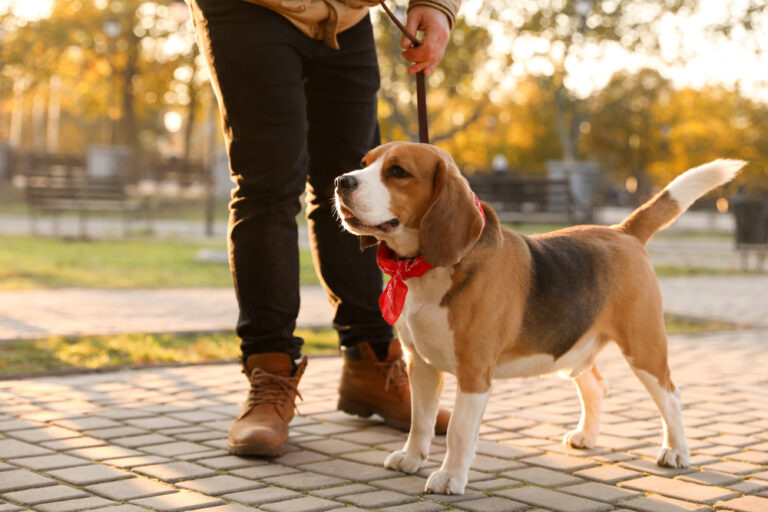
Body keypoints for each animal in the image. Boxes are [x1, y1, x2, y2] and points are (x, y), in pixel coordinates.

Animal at [332, 141, 740, 496]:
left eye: (397, 172)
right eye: (365, 162)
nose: (341, 182)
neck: (425, 269)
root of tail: (623, 232)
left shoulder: (474, 372)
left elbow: (459, 431)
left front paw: (450, 477)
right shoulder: (421, 363)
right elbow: (420, 420)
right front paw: (412, 458)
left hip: (643, 346)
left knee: (670, 395)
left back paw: (676, 451)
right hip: (576, 347)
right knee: (596, 386)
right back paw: (586, 436)